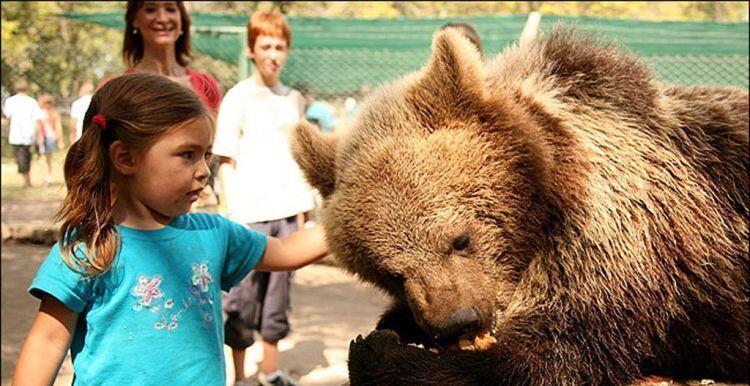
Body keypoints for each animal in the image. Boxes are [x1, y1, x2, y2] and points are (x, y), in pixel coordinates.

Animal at [290, 27, 748, 386]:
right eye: (389, 273)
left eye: (460, 239)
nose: (458, 320)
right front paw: (392, 327)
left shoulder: (616, 235)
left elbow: (553, 350)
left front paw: (380, 352)